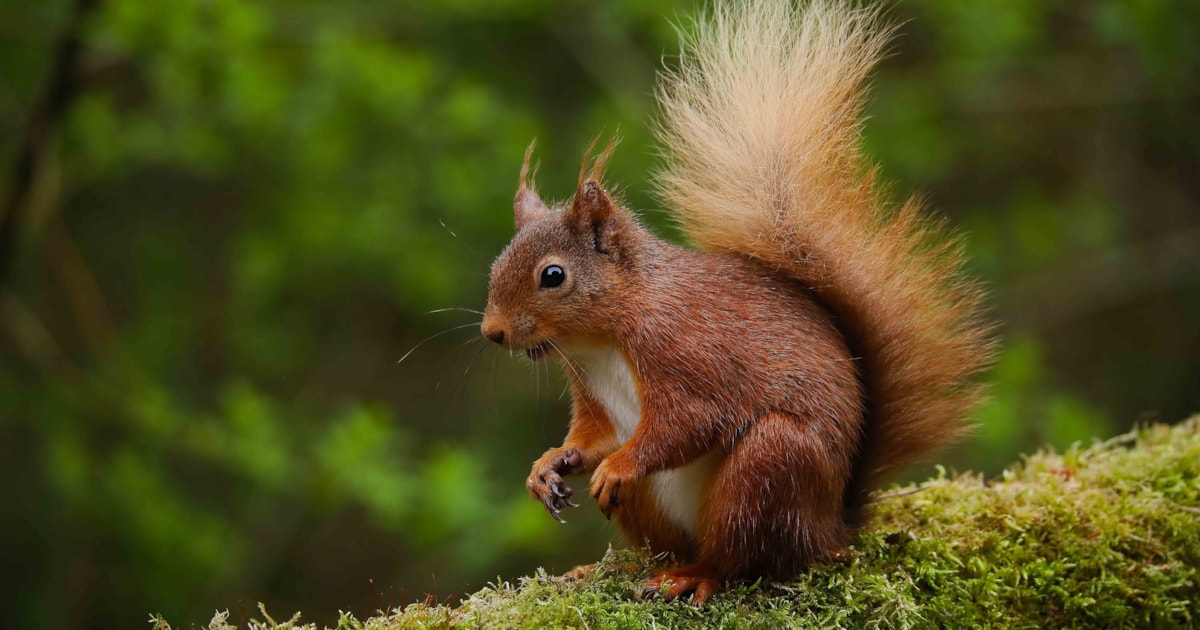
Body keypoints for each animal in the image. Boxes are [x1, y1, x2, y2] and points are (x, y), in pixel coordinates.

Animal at [480, 0, 994, 605]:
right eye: (495, 266)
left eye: (553, 276)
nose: (492, 332)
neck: (604, 340)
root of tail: (830, 526)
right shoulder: (592, 393)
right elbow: (594, 437)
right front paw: (549, 466)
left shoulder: (690, 352)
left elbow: (689, 423)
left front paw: (620, 464)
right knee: (669, 547)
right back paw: (623, 568)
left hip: (770, 466)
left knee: (740, 558)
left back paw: (694, 575)